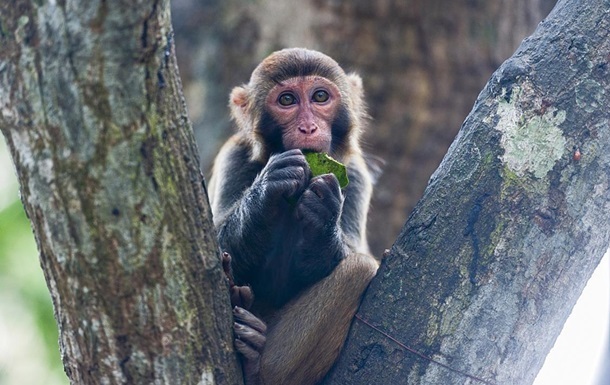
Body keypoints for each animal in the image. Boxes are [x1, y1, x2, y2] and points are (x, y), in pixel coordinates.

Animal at [209, 48, 380, 384]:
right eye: (287, 100)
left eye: (320, 96)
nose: (308, 128)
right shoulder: (233, 157)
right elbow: (216, 245)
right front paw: (267, 187)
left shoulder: (354, 173)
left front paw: (324, 216)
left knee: (360, 269)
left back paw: (258, 365)